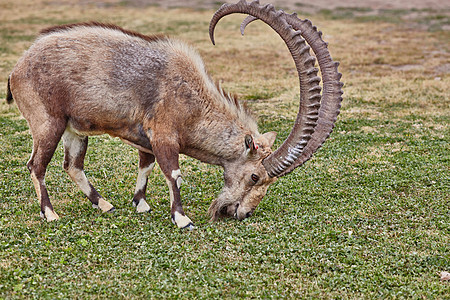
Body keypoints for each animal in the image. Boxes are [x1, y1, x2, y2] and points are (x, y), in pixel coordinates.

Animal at [6, 0, 342, 230]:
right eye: (255, 176)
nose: (239, 212)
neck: (194, 99)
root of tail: (17, 70)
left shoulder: (145, 139)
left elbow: (147, 165)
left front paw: (140, 204)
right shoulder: (164, 133)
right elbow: (173, 172)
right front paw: (182, 219)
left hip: (75, 130)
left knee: (72, 166)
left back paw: (105, 205)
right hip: (48, 124)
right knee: (36, 165)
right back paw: (50, 213)